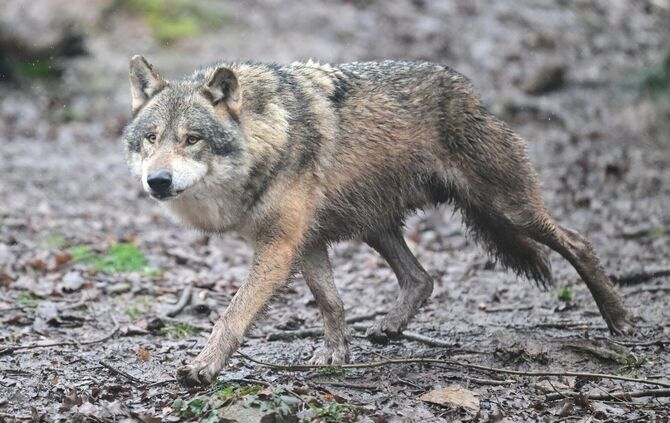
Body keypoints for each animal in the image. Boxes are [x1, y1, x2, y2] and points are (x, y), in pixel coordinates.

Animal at [122, 55, 634, 387]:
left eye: (192, 139)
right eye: (151, 138)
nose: (158, 181)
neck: (268, 137)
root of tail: (470, 90)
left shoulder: (279, 246)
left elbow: (232, 315)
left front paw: (203, 368)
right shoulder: (306, 241)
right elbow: (330, 302)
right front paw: (335, 354)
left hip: (508, 209)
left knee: (578, 241)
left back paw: (619, 320)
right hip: (376, 225)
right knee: (422, 278)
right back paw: (389, 327)